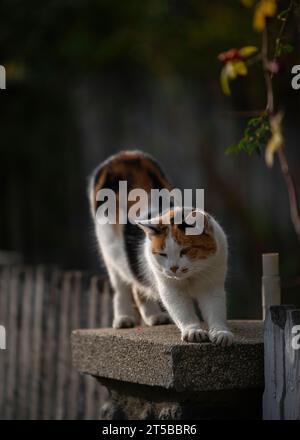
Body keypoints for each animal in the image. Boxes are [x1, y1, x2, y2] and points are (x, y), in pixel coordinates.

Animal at [88, 150, 233, 346]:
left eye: (185, 250)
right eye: (162, 254)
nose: (173, 268)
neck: (191, 276)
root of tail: (124, 155)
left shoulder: (212, 282)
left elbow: (215, 310)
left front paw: (221, 333)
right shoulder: (169, 287)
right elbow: (181, 310)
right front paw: (193, 331)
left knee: (137, 283)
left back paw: (154, 317)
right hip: (111, 255)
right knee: (121, 286)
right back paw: (124, 318)